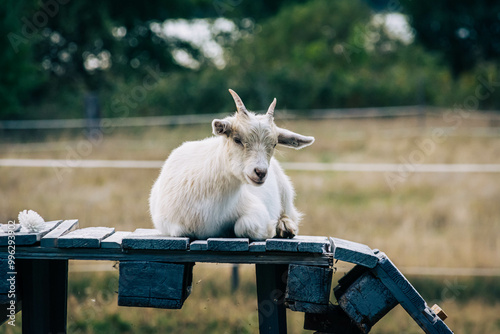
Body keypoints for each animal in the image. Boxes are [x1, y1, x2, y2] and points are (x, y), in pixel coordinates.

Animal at [148, 89, 314, 240]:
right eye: (237, 139)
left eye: (274, 144)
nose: (260, 172)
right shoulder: (170, 223)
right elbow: (181, 230)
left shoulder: (256, 208)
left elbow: (244, 226)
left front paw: (271, 228)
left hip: (285, 190)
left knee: (289, 213)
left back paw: (285, 226)